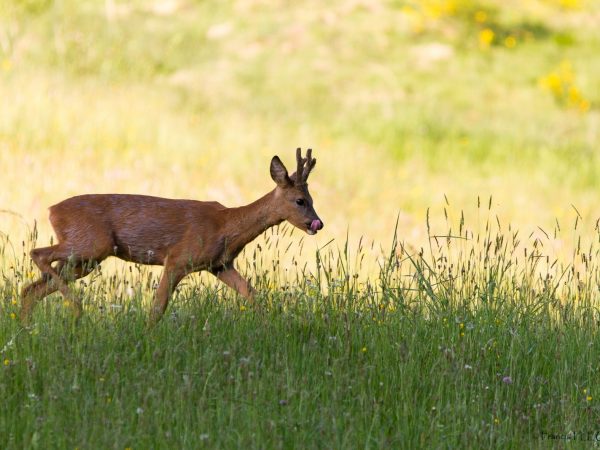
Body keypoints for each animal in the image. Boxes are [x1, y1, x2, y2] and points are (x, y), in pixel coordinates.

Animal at [19, 149, 324, 326]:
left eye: (312, 198)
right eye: (299, 201)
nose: (317, 223)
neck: (226, 227)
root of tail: (51, 210)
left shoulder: (220, 264)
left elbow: (252, 295)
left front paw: (272, 325)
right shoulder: (178, 258)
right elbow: (158, 307)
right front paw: (147, 336)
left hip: (84, 259)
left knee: (31, 288)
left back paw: (27, 327)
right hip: (91, 243)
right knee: (37, 254)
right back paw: (76, 307)